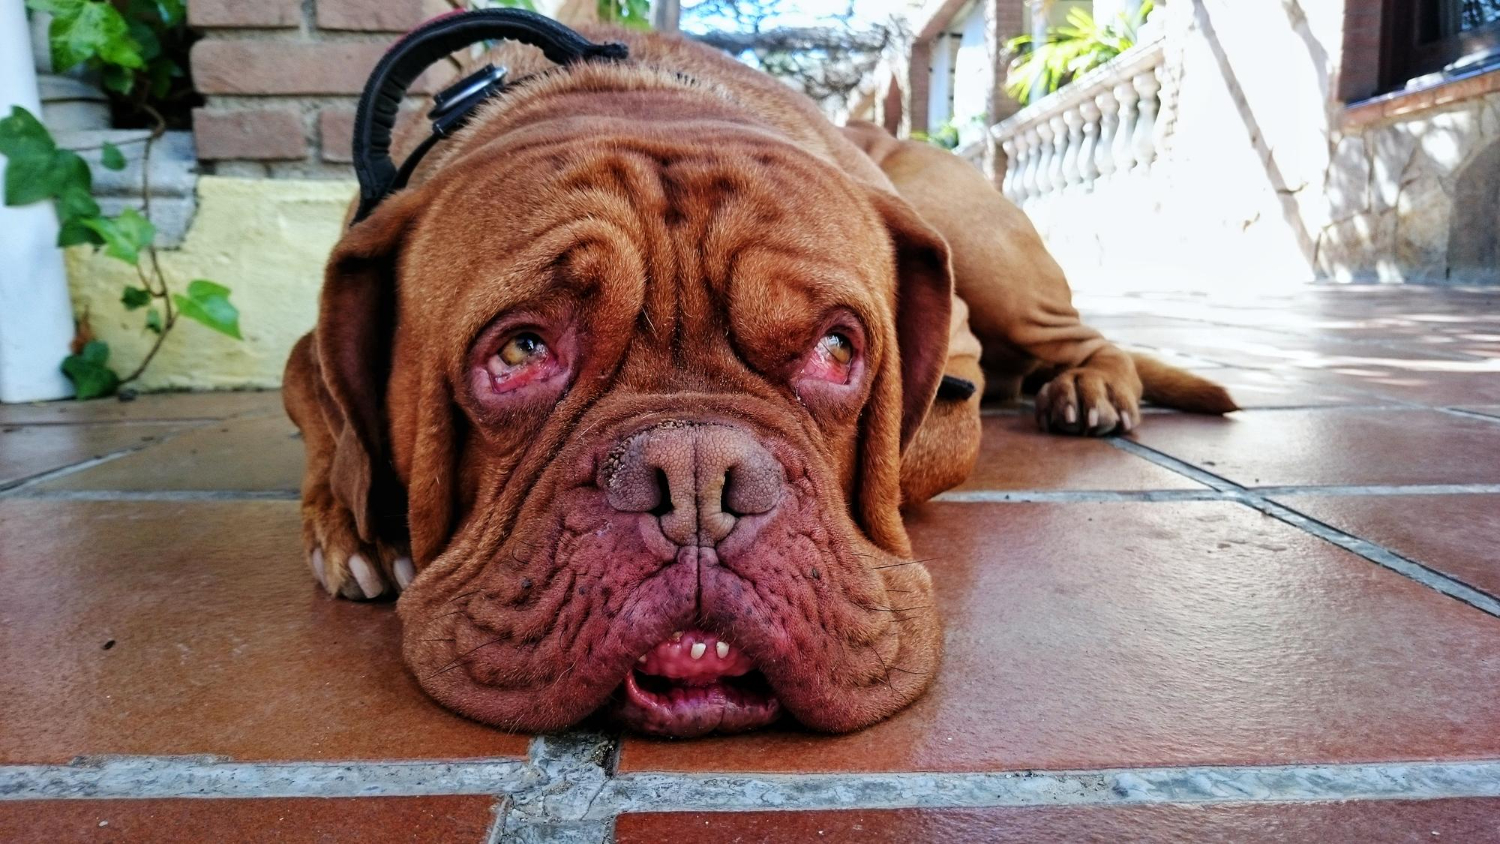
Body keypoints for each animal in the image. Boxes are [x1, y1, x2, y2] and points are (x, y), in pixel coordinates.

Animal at [282, 26, 1230, 740]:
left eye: (838, 349)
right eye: (518, 351)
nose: (698, 480)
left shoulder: (947, 398)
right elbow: (317, 398)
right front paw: (361, 523)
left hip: (984, 244)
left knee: (1079, 336)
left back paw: (1090, 389)